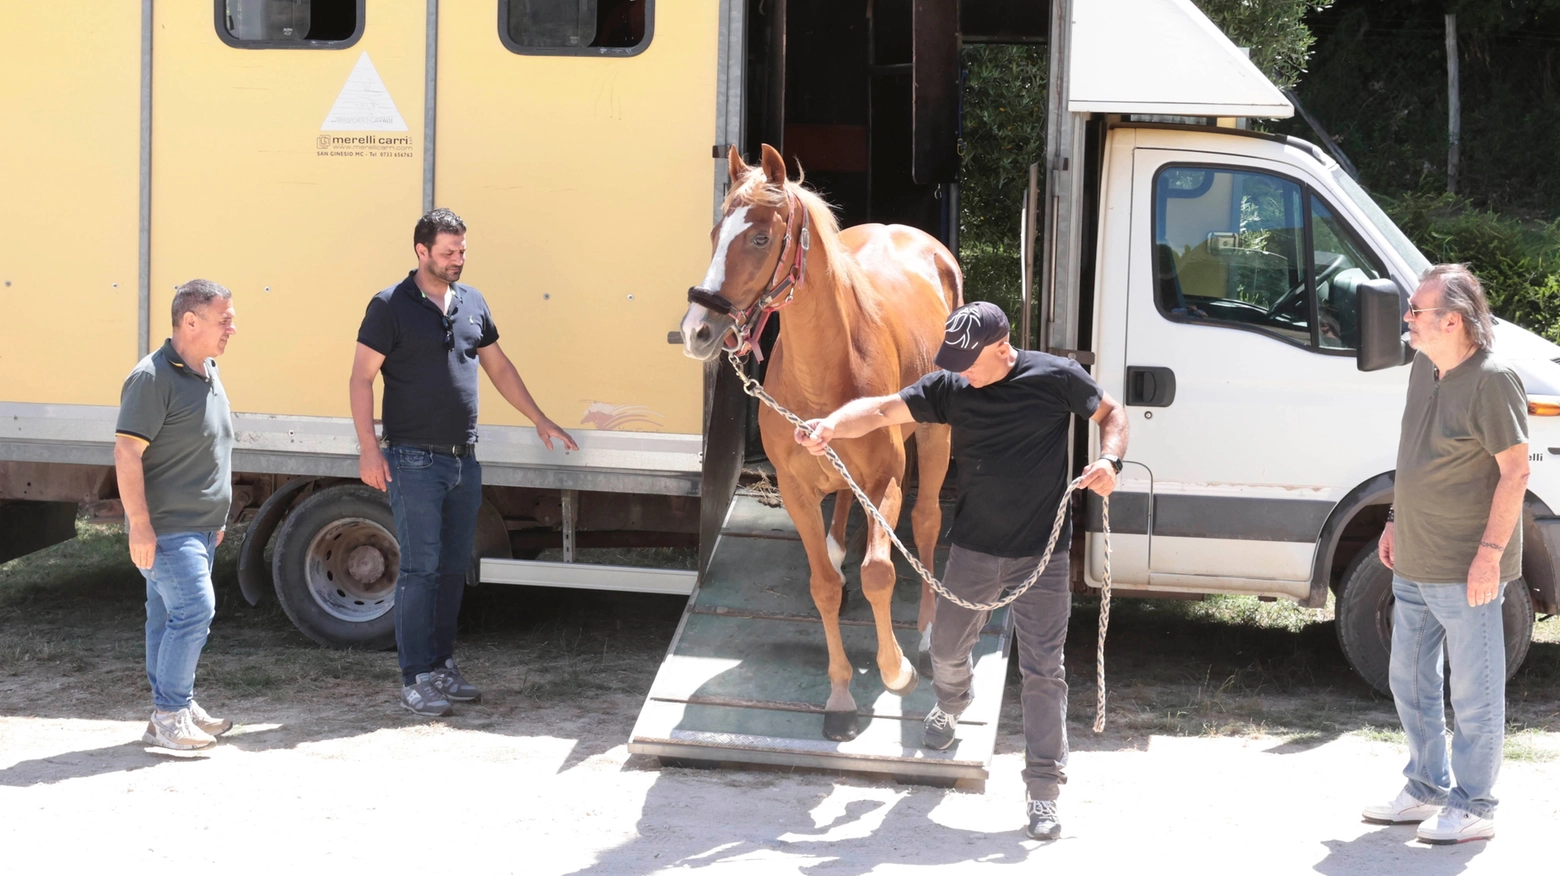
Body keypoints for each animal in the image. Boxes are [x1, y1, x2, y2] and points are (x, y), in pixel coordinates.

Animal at [677, 144, 954, 735]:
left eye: (760, 238)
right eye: (715, 232)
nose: (697, 330)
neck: (826, 370)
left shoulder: (886, 479)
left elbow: (880, 571)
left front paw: (896, 670)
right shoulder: (796, 490)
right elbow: (823, 586)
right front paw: (841, 698)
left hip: (936, 436)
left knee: (925, 524)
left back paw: (923, 638)